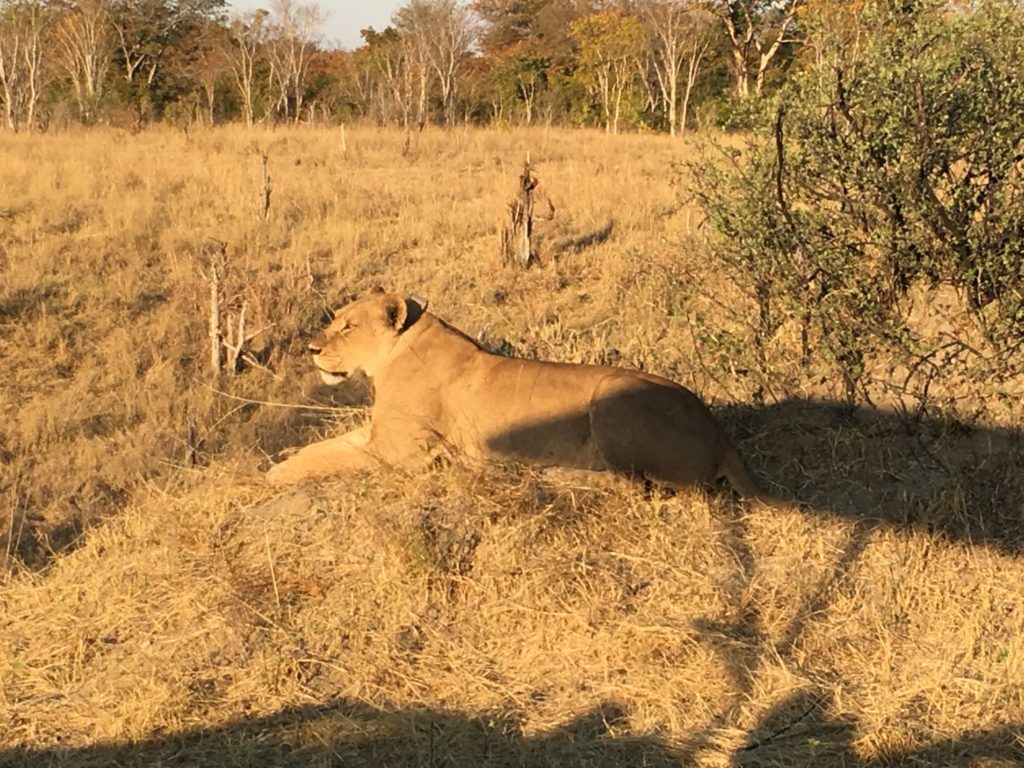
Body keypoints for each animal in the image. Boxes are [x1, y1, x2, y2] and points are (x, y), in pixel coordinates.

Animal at [266, 290, 763, 498]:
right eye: (335, 320)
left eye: (348, 327)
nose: (312, 350)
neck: (392, 355)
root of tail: (719, 434)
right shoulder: (380, 435)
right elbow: (322, 447)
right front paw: (279, 461)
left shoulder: (403, 453)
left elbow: (331, 459)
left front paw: (273, 477)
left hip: (612, 397)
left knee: (643, 487)